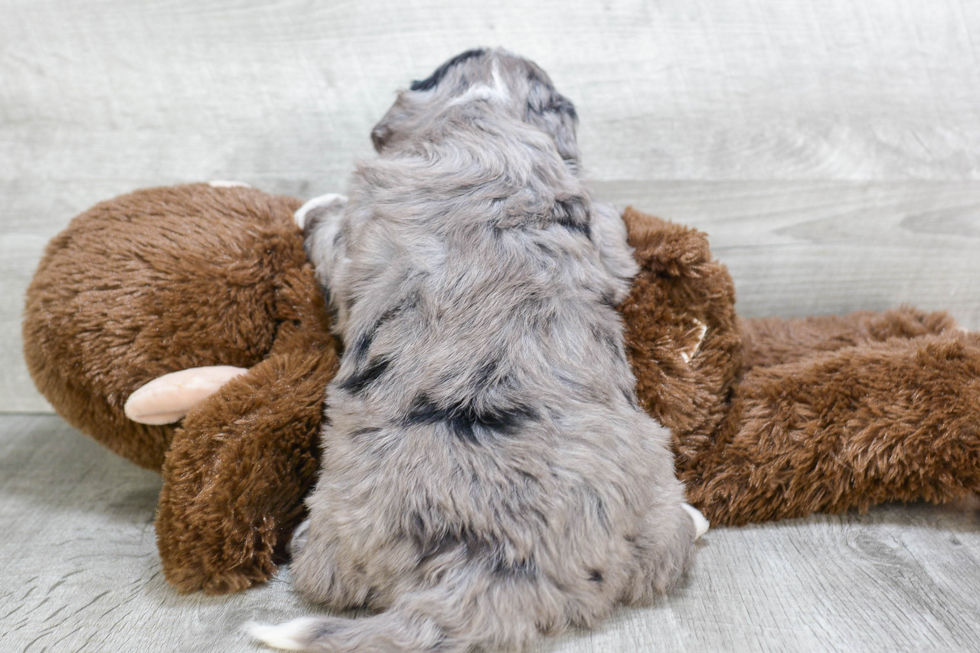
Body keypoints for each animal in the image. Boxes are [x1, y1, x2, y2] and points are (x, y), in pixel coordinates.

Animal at [249, 47, 700, 652]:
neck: (487, 113)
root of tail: (492, 564)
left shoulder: (352, 242)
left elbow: (329, 228)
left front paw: (310, 207)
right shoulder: (604, 233)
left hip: (336, 539)